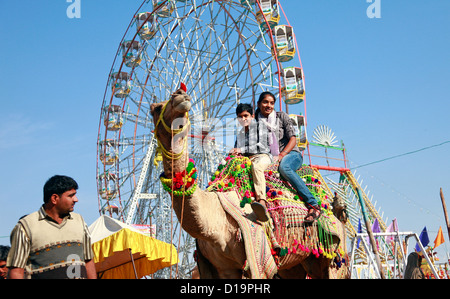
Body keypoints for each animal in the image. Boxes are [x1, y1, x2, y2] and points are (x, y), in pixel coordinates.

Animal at [150, 88, 348, 280]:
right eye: (156, 109)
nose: (180, 95)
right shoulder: (223, 268)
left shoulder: (257, 258)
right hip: (298, 261)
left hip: (334, 254)